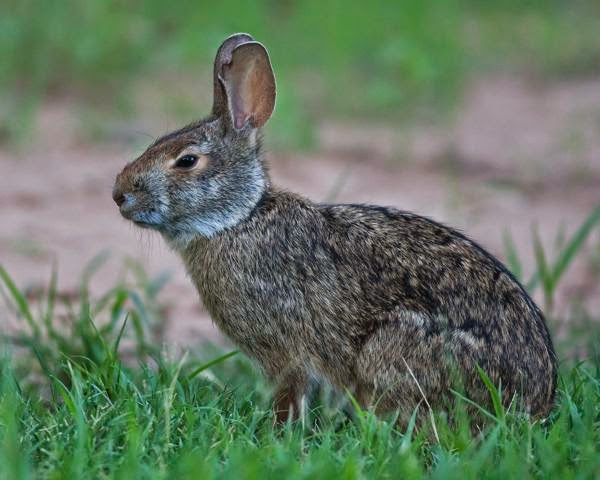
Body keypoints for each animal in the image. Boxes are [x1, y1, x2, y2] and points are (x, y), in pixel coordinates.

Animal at [112, 32, 556, 424]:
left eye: (187, 161)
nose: (119, 195)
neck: (240, 218)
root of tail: (535, 405)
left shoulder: (287, 353)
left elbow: (290, 393)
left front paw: (278, 433)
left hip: (394, 350)